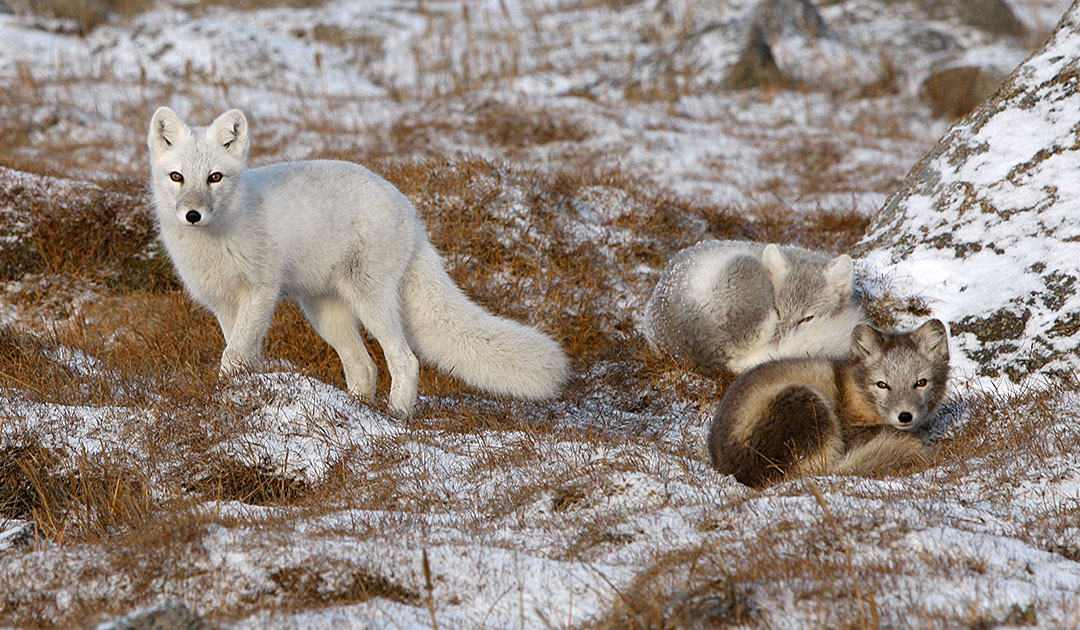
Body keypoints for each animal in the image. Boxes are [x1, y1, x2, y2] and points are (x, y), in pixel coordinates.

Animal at [146, 107, 568, 415]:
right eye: (177, 177)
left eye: (215, 177)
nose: (193, 215)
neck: (218, 237)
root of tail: (410, 212)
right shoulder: (224, 303)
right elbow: (242, 354)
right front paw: (238, 394)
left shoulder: (260, 291)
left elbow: (233, 354)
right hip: (325, 312)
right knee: (364, 367)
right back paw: (355, 413)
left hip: (370, 300)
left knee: (404, 361)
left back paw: (396, 417)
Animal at [707, 319, 950, 488]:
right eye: (882, 385)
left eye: (920, 383)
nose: (905, 416)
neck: (853, 391)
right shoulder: (852, 431)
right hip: (805, 402)